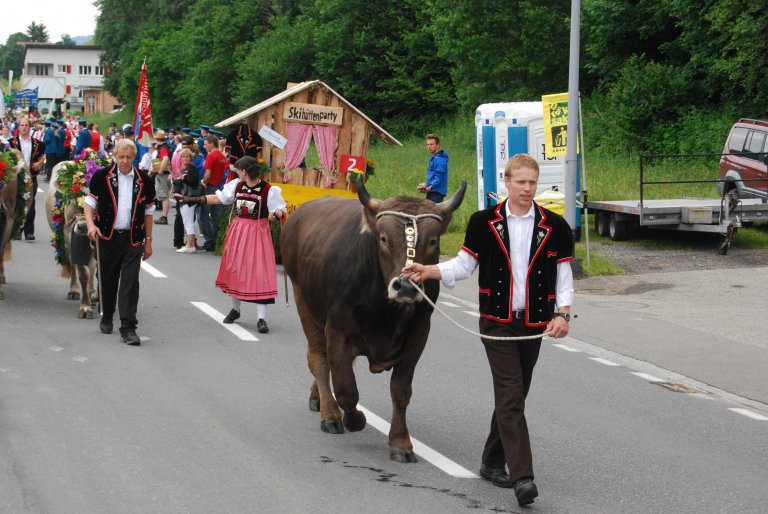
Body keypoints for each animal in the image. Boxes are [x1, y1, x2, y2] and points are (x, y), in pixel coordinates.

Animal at [280, 175, 464, 460]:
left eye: (433, 241)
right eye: (384, 239)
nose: (406, 286)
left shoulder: (419, 336)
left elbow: (400, 391)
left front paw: (400, 443)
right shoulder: (338, 331)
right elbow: (346, 389)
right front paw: (355, 419)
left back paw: (318, 397)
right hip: (304, 302)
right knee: (318, 359)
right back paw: (330, 413)